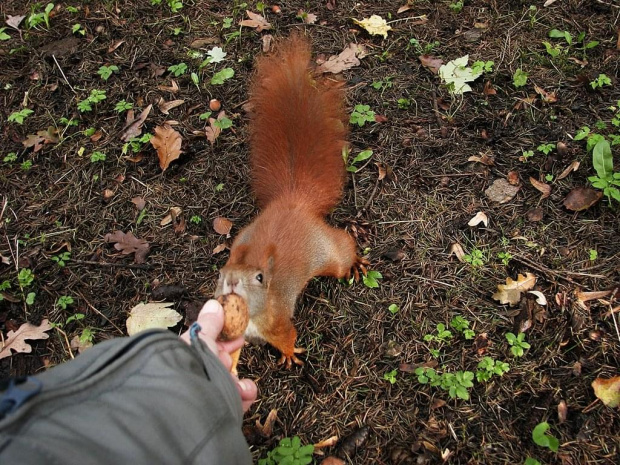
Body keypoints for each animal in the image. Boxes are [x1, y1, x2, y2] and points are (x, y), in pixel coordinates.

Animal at [214, 34, 368, 368]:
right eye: (220, 274)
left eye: (259, 278)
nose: (232, 283)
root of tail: (293, 200)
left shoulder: (278, 322)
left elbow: (287, 336)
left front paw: (289, 353)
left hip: (328, 253)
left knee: (343, 249)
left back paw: (354, 263)